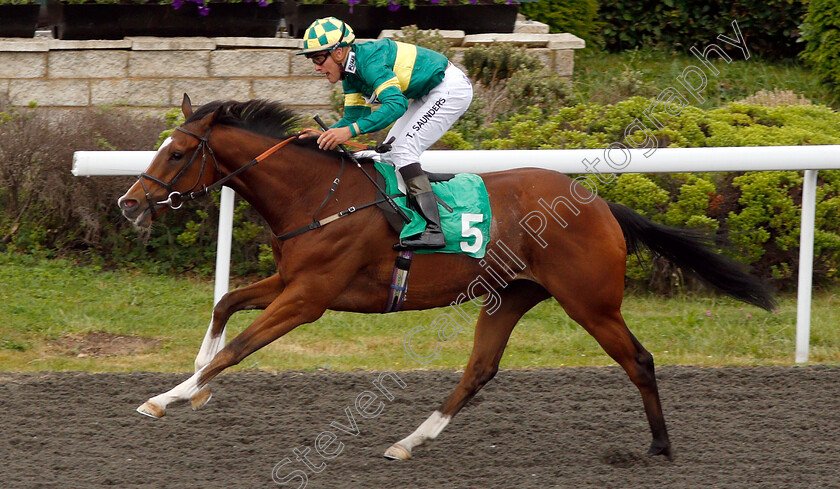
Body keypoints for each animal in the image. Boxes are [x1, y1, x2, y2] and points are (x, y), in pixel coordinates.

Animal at [116, 93, 776, 460]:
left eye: (178, 154)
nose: (128, 203)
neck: (317, 195)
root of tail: (597, 202)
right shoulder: (291, 283)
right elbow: (225, 305)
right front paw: (194, 384)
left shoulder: (309, 298)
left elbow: (239, 349)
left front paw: (167, 397)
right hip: (509, 296)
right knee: (479, 371)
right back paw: (408, 442)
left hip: (590, 302)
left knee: (638, 359)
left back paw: (659, 447)